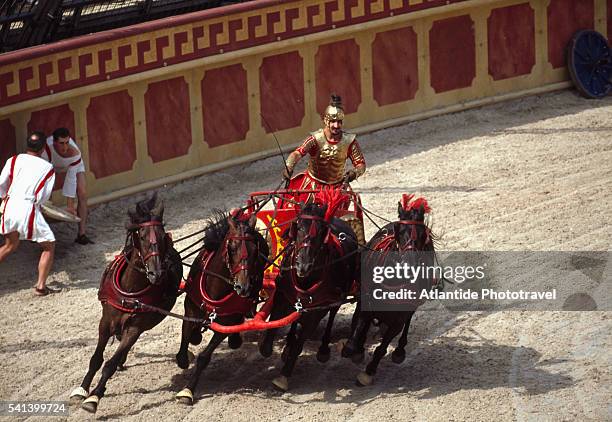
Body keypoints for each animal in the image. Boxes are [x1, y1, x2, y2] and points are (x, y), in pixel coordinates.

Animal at [70, 194, 182, 412]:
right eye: (143, 236)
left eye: (162, 235)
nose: (156, 273)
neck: (129, 293)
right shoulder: (105, 322)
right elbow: (96, 359)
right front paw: (82, 389)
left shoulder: (135, 328)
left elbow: (109, 364)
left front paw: (94, 397)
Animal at [173, 209, 266, 404]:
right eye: (231, 248)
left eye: (255, 251)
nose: (243, 287)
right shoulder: (190, 309)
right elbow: (184, 344)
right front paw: (187, 351)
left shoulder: (225, 323)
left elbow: (204, 357)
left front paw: (187, 390)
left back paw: (235, 338)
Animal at [258, 190, 358, 390]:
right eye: (298, 227)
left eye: (321, 231)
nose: (303, 265)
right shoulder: (282, 295)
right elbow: (274, 325)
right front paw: (269, 346)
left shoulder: (317, 311)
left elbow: (301, 341)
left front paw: (284, 375)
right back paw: (288, 342)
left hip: (337, 297)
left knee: (331, 315)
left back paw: (323, 349)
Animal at [340, 195, 436, 386]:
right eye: (399, 230)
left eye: (423, 234)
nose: (409, 264)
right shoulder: (366, 302)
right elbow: (358, 326)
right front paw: (353, 349)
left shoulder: (398, 320)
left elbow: (382, 347)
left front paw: (368, 372)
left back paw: (399, 351)